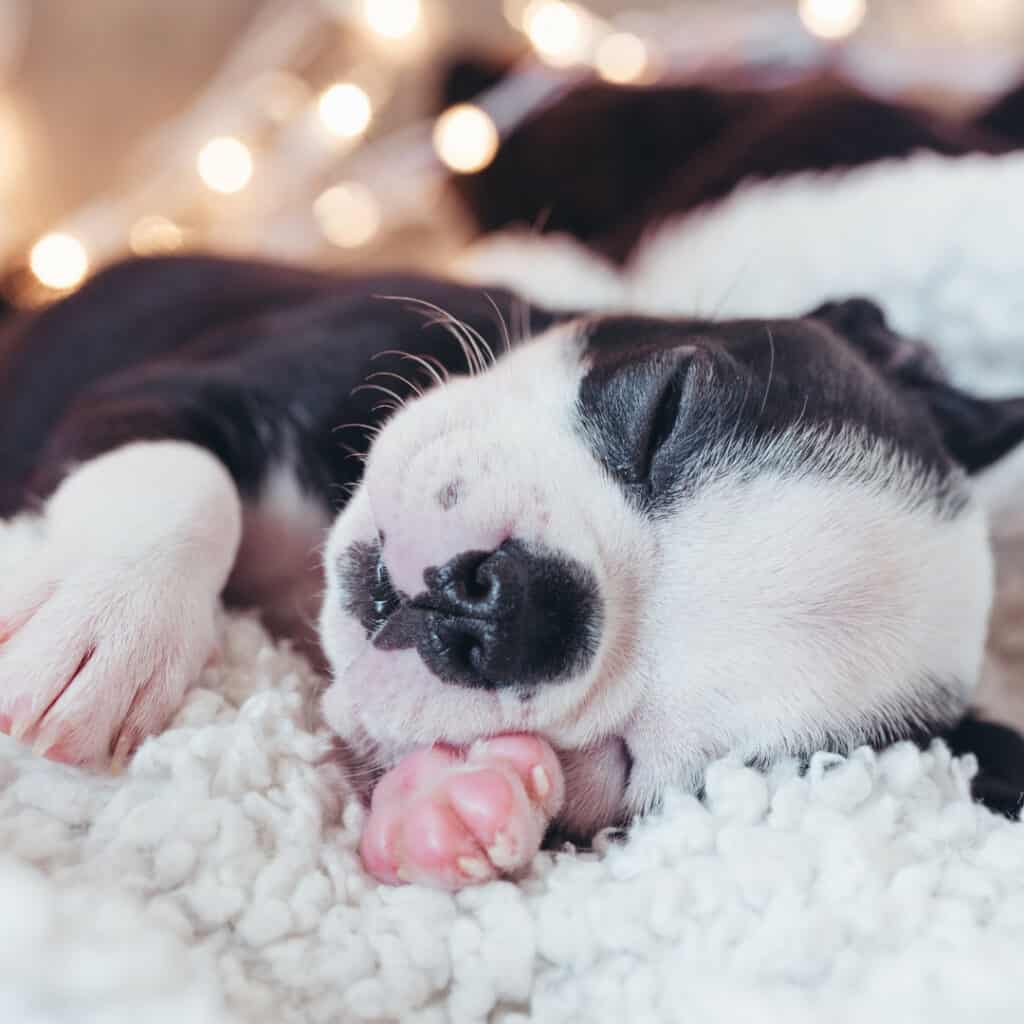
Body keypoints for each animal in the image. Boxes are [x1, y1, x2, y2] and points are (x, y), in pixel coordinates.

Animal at [2, 256, 1024, 888]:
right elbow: (184, 472)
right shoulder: (161, 388)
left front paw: (460, 804)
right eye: (666, 409)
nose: (512, 608)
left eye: (631, 766)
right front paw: (102, 620)